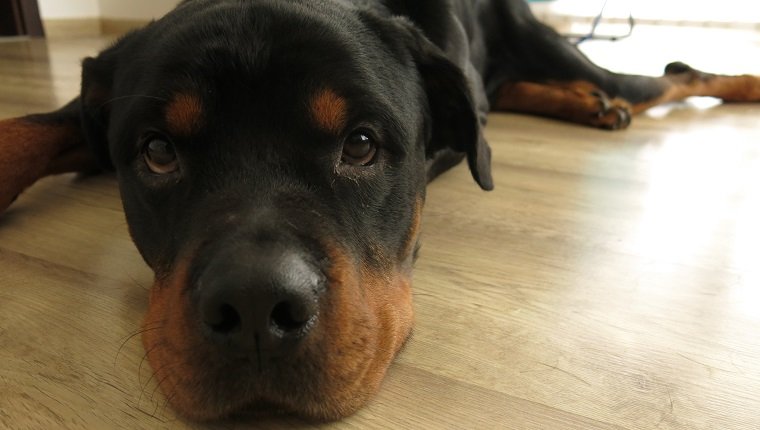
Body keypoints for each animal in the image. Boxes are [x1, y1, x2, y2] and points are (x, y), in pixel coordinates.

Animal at [1, 0, 760, 422]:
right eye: (157, 152)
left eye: (361, 144)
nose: (254, 304)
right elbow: (26, 127)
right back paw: (587, 106)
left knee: (673, 74)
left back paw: (726, 85)